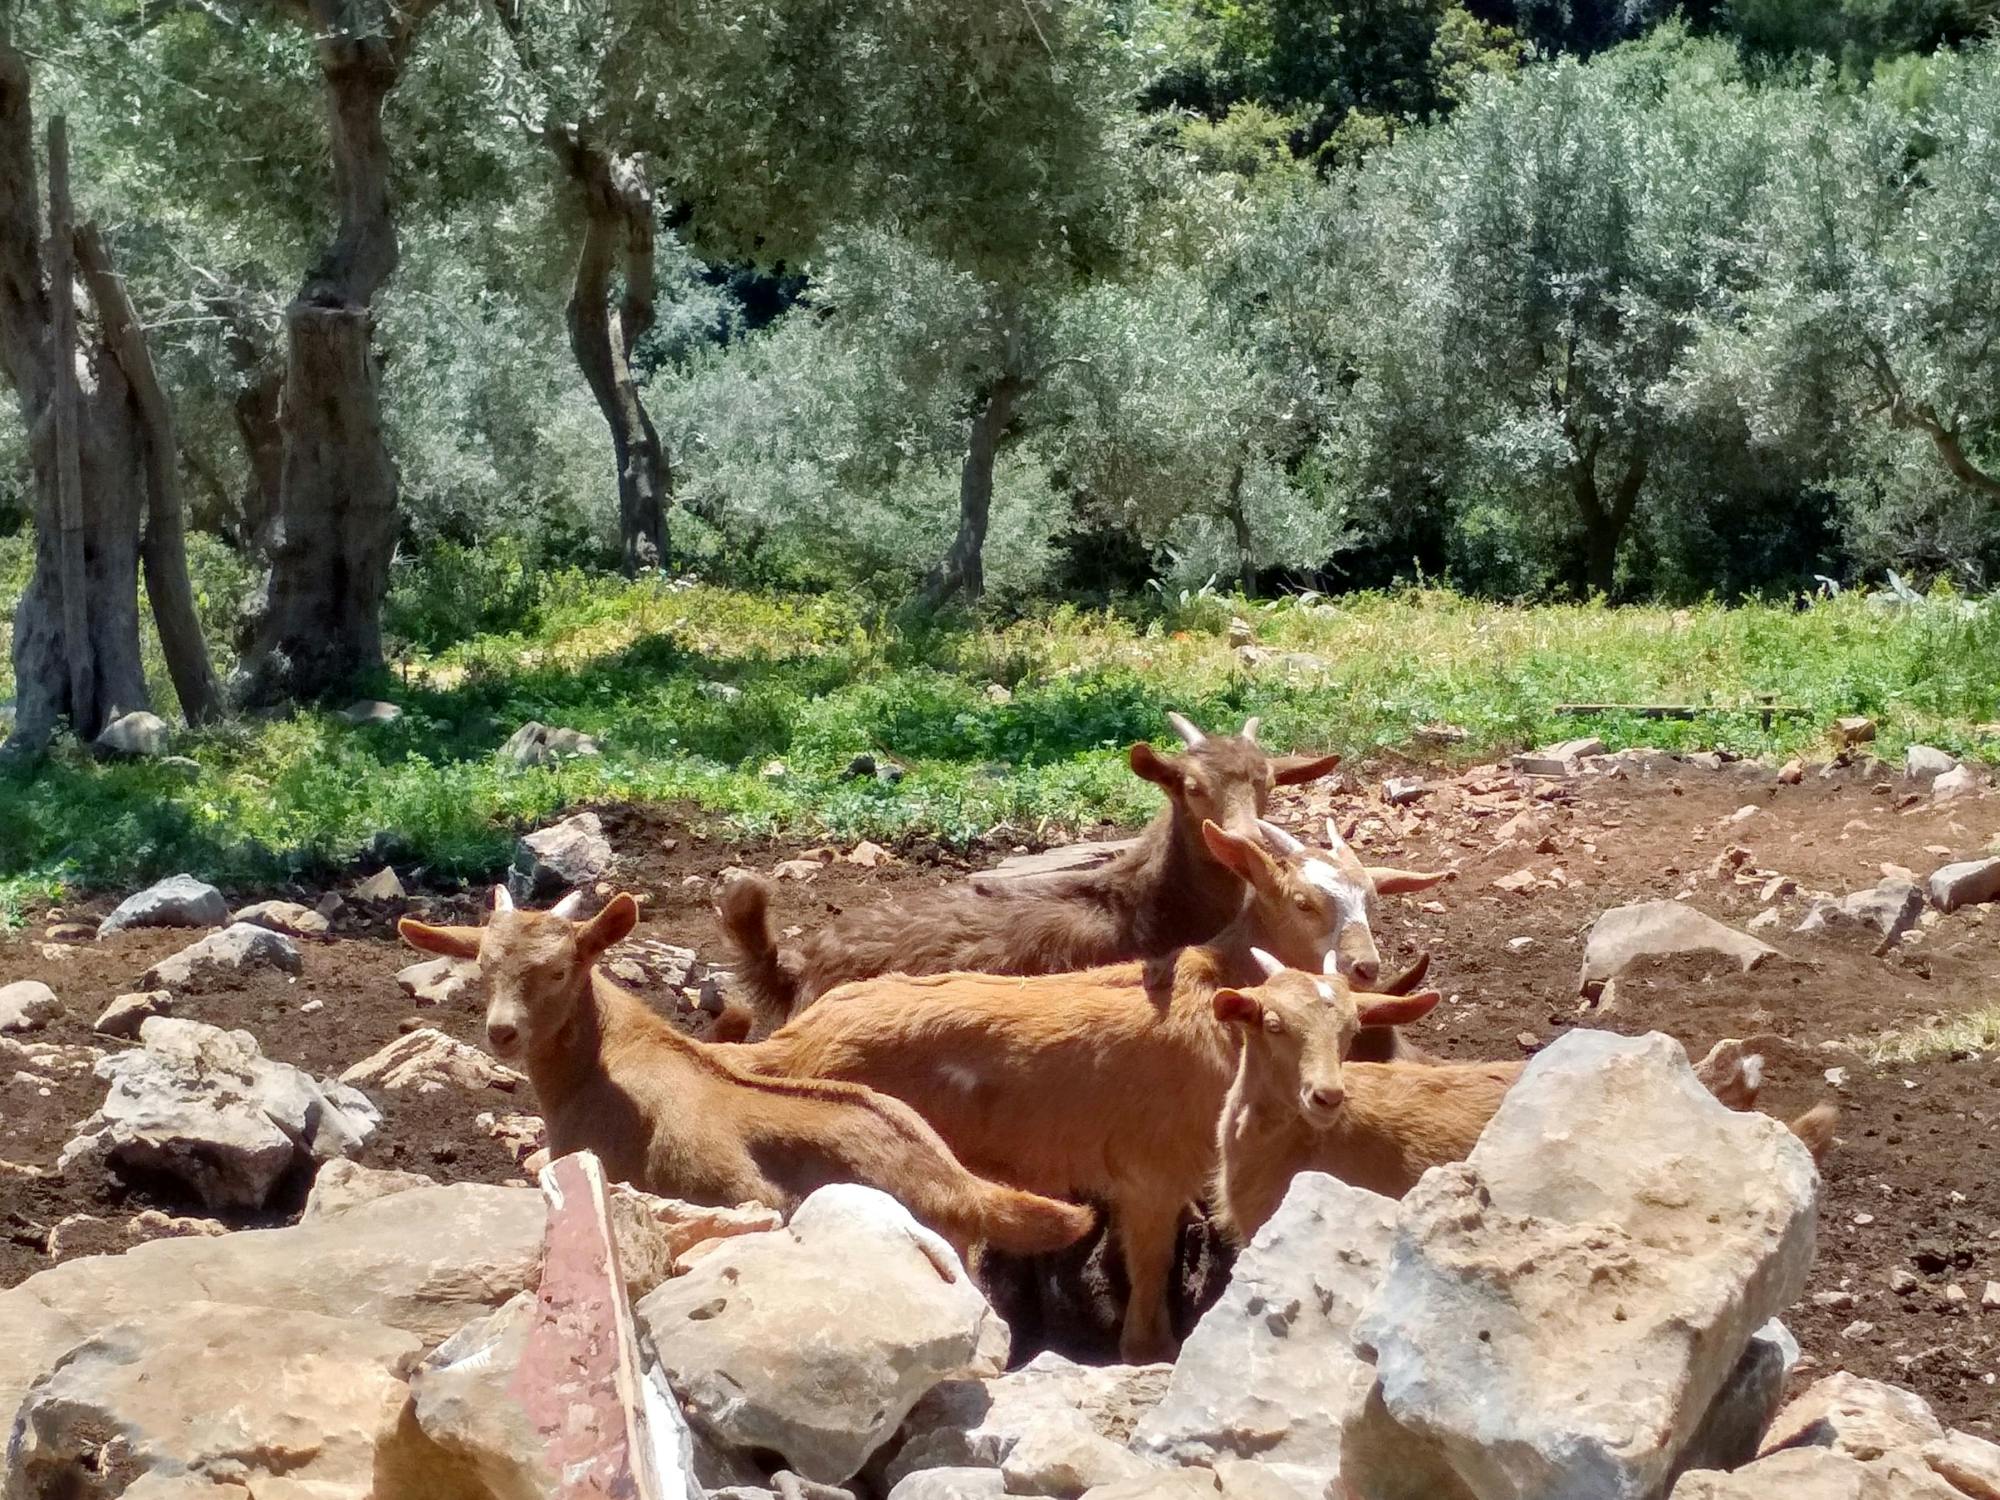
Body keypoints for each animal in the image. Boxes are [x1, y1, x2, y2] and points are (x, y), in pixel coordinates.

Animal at [720, 824, 1440, 1360]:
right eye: (1302, 901)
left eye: (1372, 899)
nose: (1364, 966)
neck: (1215, 998)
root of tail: (790, 1040)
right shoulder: (1153, 1171)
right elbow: (1146, 1302)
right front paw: (1150, 1349)